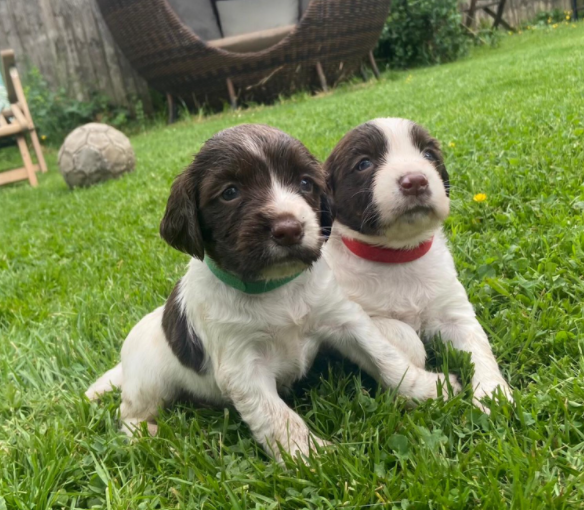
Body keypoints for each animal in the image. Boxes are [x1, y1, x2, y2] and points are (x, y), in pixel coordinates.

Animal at [88, 124, 460, 462]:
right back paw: (147, 435)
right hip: (149, 383)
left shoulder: (344, 320)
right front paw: (310, 457)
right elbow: (278, 417)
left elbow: (386, 357)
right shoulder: (242, 367)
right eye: (230, 192)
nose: (289, 230)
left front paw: (428, 389)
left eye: (305, 183)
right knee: (128, 412)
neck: (276, 288)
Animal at [324, 117, 512, 408]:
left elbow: (479, 344)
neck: (399, 255)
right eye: (364, 163)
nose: (415, 181)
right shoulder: (345, 313)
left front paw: (493, 393)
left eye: (428, 155)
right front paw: (416, 359)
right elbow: (398, 332)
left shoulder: (454, 311)